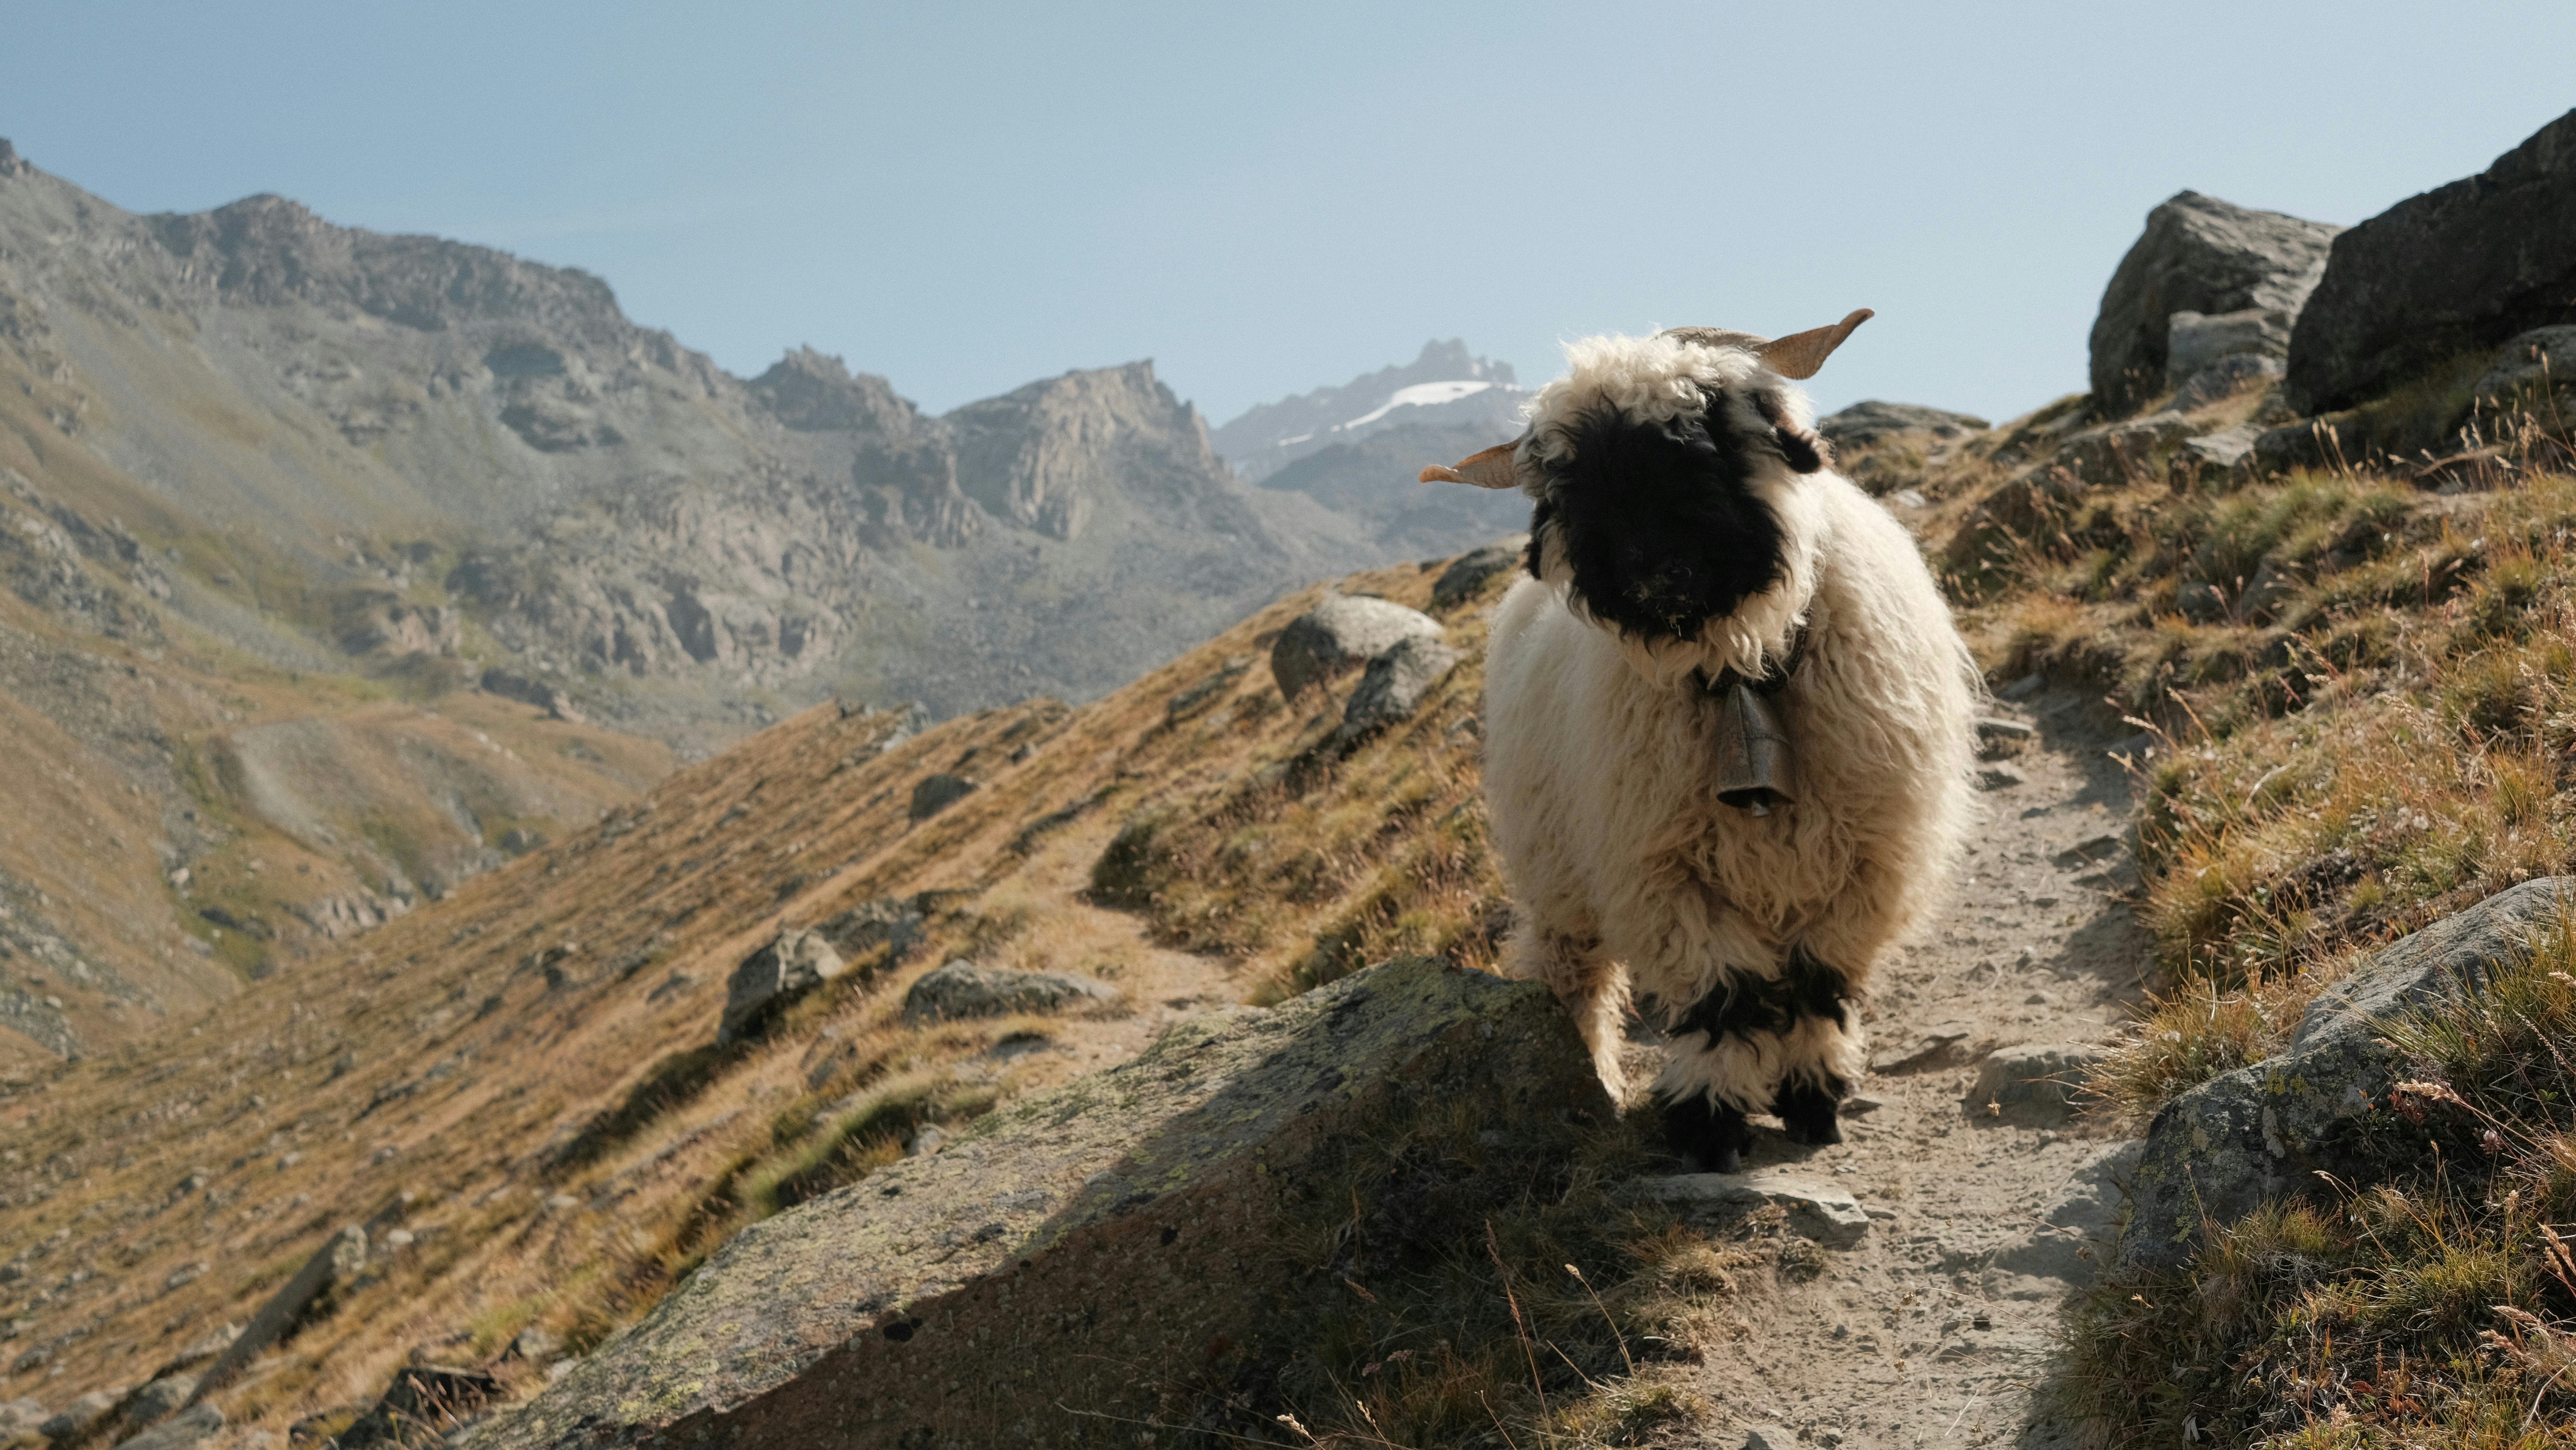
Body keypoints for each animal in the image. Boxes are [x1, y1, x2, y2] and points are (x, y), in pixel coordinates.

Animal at [1419, 311, 1978, 1171]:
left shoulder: (1869, 869)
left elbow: (1816, 985)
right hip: (1558, 866)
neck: (1739, 667)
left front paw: (1814, 1099)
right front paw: (1709, 1123)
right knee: (1573, 971)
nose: (1650, 575)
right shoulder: (1663, 874)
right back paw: (1587, 1067)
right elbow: (1725, 999)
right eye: (1570, 485)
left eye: (1701, 438)